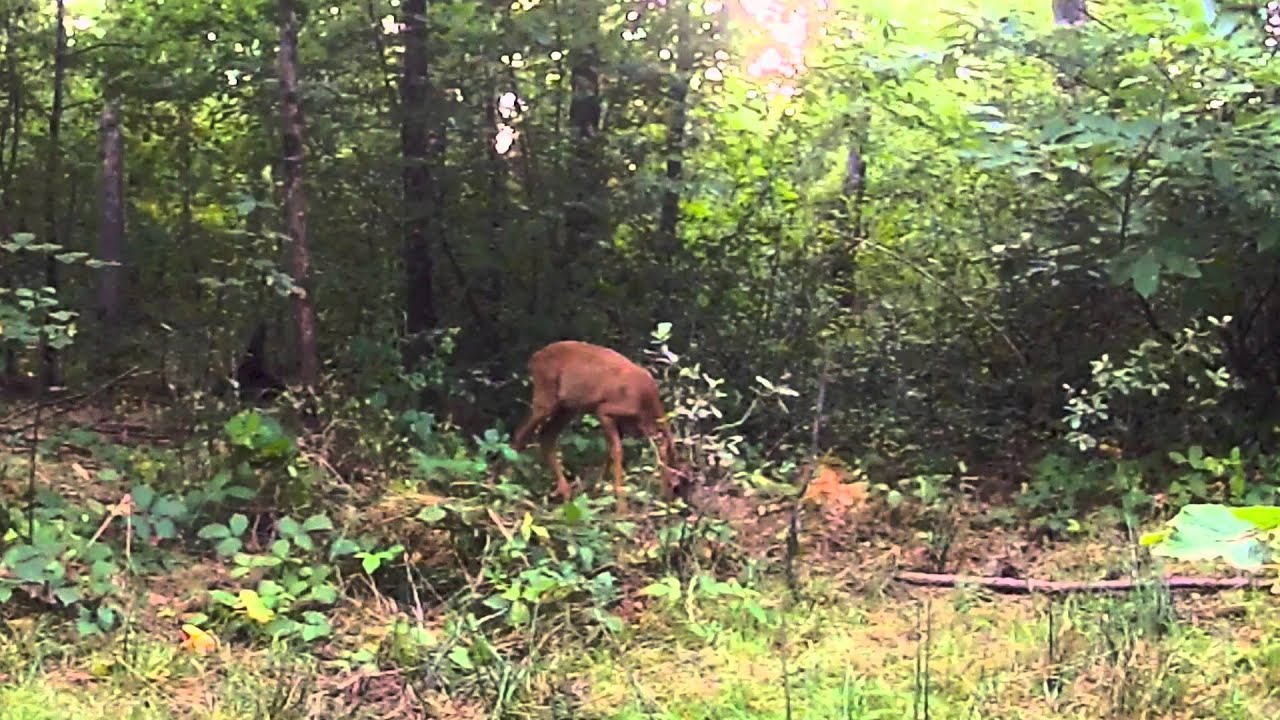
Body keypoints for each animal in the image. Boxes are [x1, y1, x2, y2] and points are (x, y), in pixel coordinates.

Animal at [512, 338, 680, 512]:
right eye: (675, 474)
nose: (670, 498)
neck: (645, 408)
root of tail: (534, 359)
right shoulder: (605, 410)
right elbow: (617, 451)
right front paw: (621, 508)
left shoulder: (623, 423)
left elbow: (610, 453)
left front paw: (597, 490)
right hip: (546, 394)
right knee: (522, 433)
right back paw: (510, 484)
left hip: (567, 406)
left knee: (546, 436)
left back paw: (564, 492)